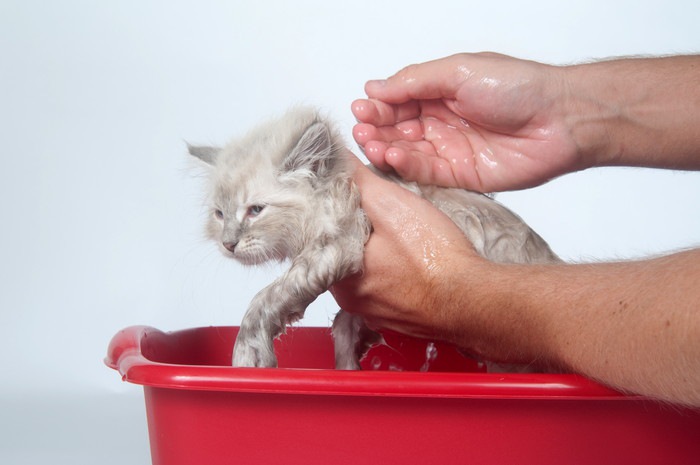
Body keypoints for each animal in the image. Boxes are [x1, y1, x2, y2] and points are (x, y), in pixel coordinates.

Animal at [189, 106, 560, 370]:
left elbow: (263, 300)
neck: (339, 190)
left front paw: (247, 359)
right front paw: (349, 366)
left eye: (255, 210)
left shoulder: (336, 247)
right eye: (220, 214)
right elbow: (342, 325)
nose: (229, 244)